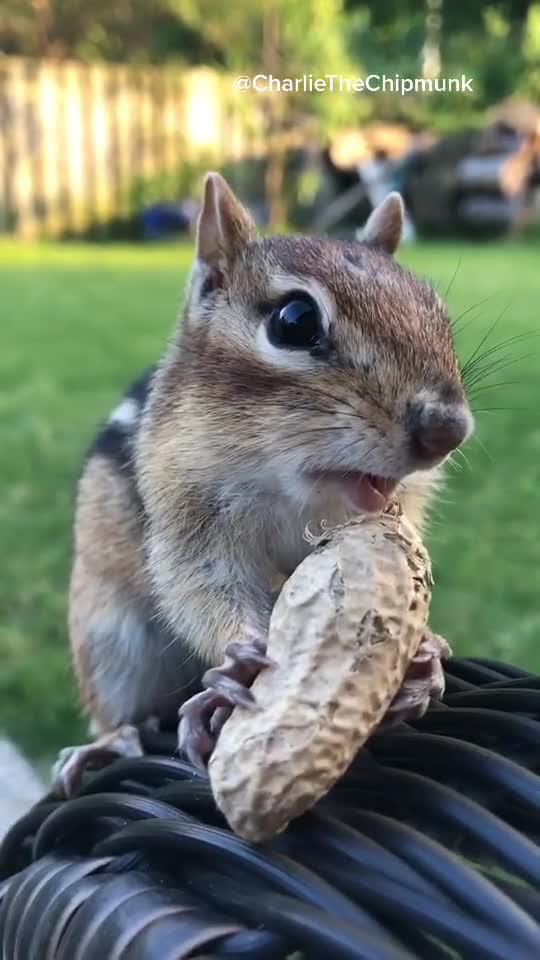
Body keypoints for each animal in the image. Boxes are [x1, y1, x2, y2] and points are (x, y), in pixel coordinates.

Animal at [53, 172, 473, 795]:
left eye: (436, 310)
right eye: (294, 321)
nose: (448, 429)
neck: (297, 491)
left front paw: (426, 653)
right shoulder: (188, 519)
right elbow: (200, 588)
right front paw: (240, 662)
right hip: (110, 639)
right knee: (120, 711)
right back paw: (110, 744)